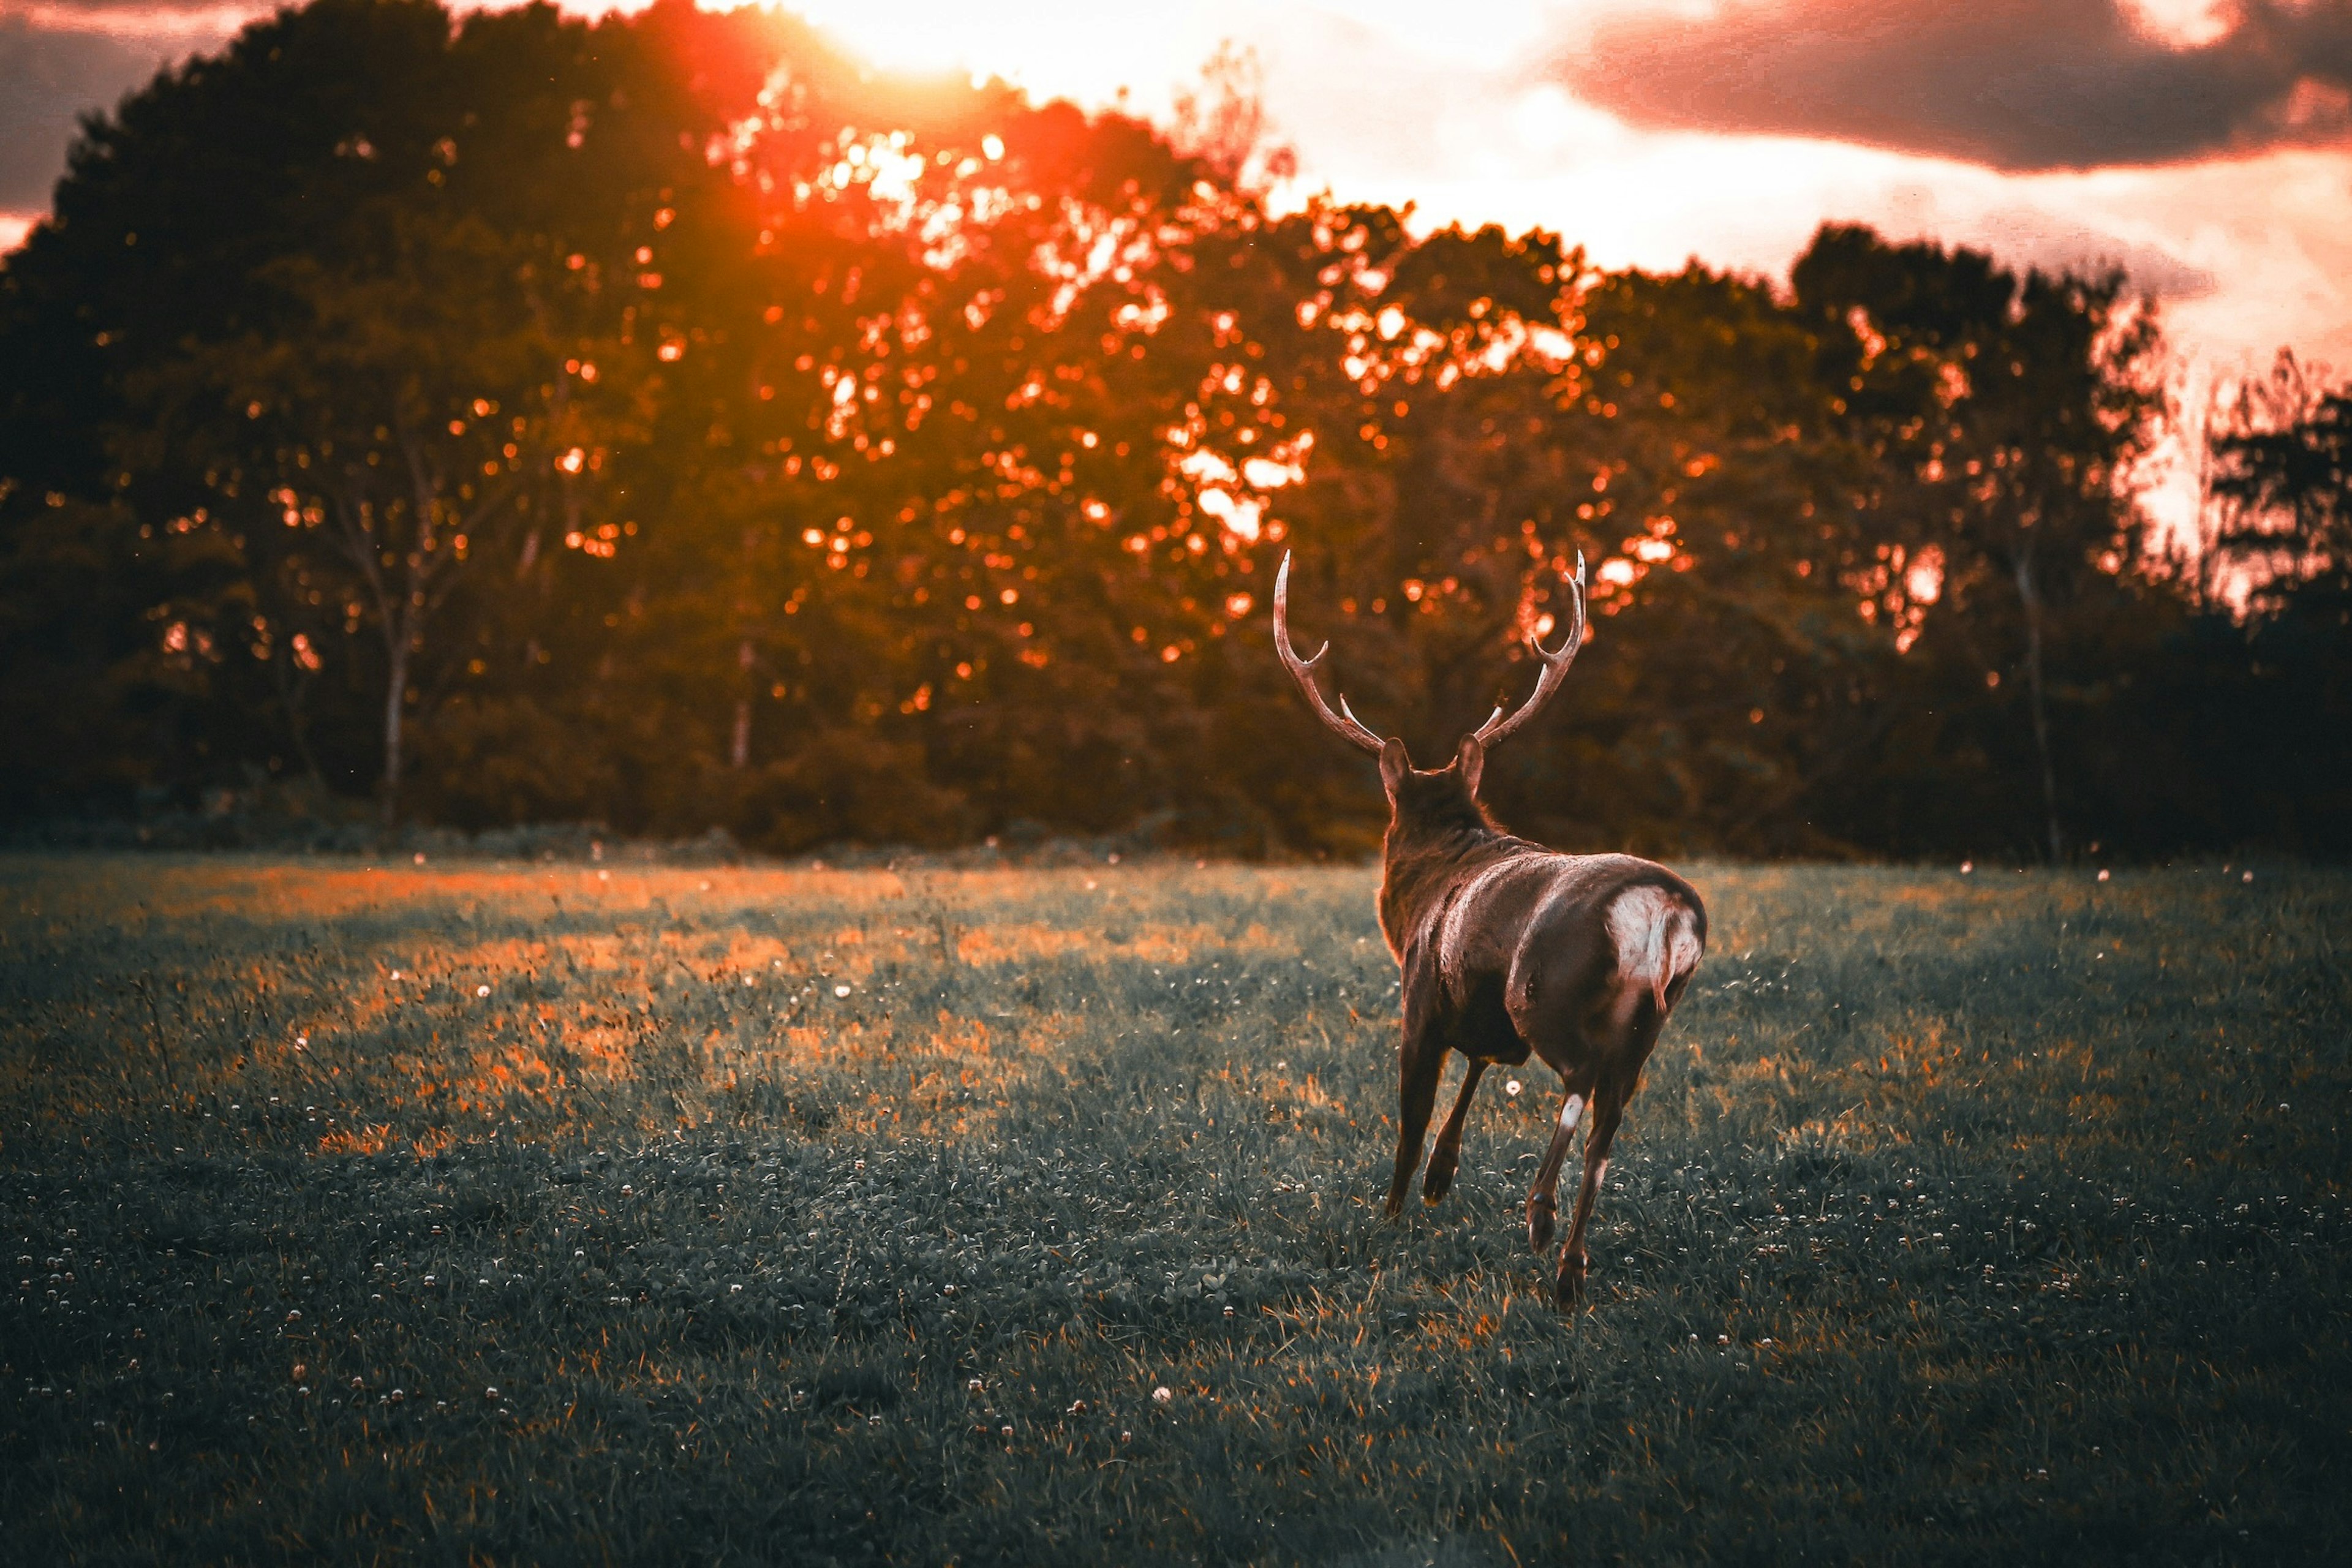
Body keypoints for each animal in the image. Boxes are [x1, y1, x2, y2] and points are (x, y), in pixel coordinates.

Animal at [1279, 554, 1703, 1316]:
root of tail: (1660, 911)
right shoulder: (1478, 1012)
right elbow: (1479, 1063)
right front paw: (1443, 1176)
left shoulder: (1420, 1000)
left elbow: (1412, 1119)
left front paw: (1393, 1212)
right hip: (1652, 1016)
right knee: (1609, 1120)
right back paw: (1570, 1269)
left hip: (1549, 990)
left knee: (1582, 1081)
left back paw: (1540, 1213)